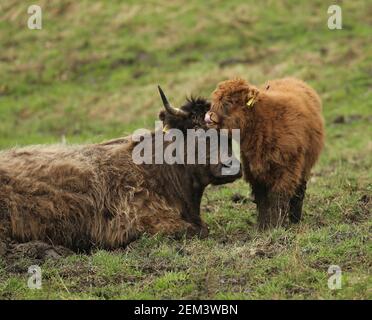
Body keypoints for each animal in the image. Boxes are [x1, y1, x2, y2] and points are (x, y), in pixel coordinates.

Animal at [205, 76, 324, 229]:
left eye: (230, 101)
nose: (209, 117)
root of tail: (292, 79)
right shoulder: (253, 170)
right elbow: (261, 198)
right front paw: (263, 225)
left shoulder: (288, 169)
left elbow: (279, 196)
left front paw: (277, 225)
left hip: (304, 166)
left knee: (299, 190)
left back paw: (295, 219)